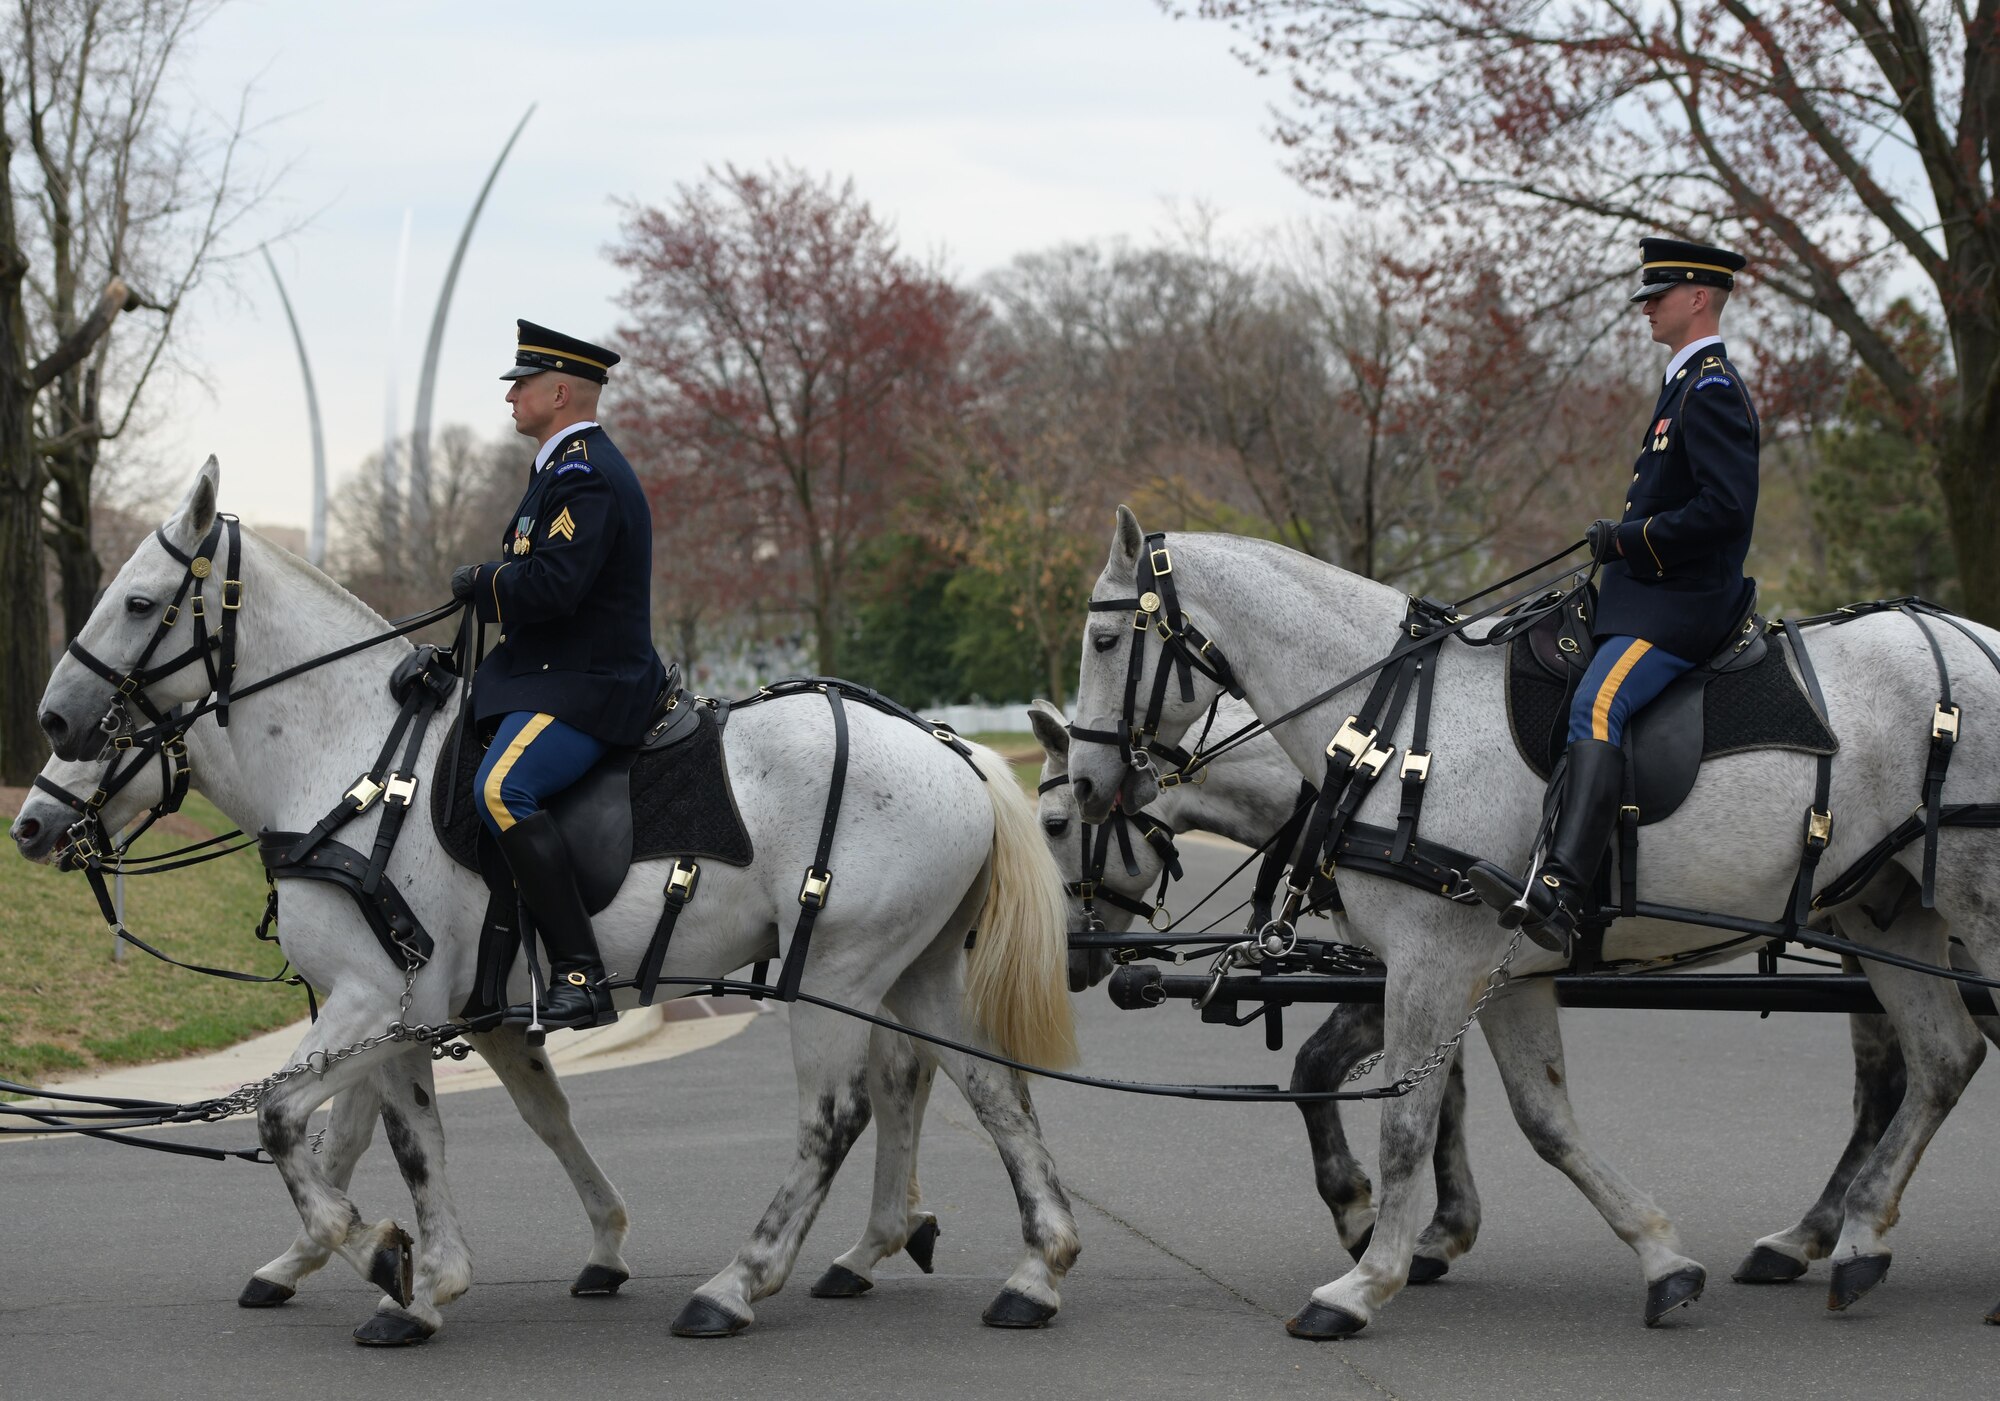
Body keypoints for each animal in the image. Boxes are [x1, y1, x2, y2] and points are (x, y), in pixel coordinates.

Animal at [31, 468, 1088, 1344]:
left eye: (137, 600)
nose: (37, 796)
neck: (354, 762)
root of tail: (952, 747)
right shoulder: (418, 1011)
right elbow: (409, 1133)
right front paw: (415, 1272)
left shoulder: (373, 998)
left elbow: (293, 1120)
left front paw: (381, 1257)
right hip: (918, 971)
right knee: (990, 1089)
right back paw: (1035, 1269)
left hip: (841, 968)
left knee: (837, 1116)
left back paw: (738, 1283)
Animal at [1064, 512, 2000, 1336]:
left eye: (1105, 642)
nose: (1083, 777)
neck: (1391, 726)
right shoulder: (1500, 973)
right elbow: (1540, 1119)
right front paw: (1659, 1256)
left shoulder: (1427, 963)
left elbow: (1401, 1119)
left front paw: (1366, 1277)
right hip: (1886, 915)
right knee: (1942, 1058)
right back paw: (1853, 1236)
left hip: (1972, 910)